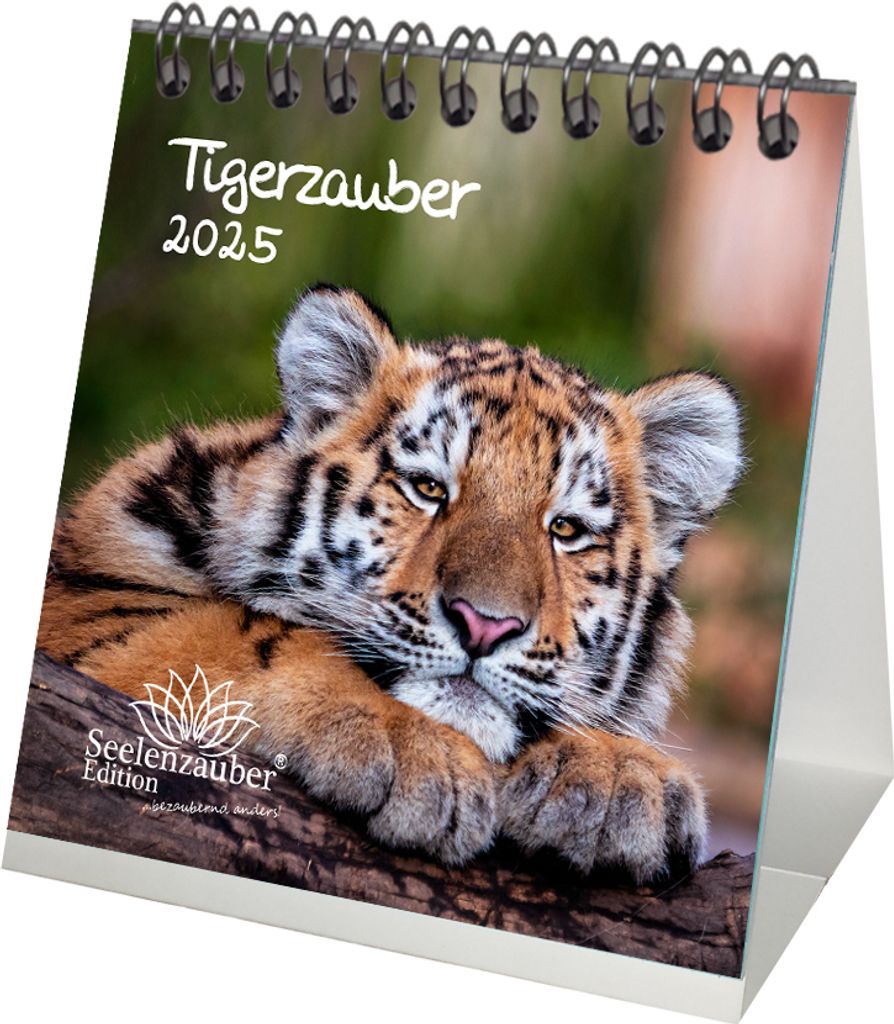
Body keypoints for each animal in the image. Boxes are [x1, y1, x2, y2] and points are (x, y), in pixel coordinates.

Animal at [37, 284, 743, 882]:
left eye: (565, 530)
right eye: (428, 488)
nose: (485, 625)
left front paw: (623, 774)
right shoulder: (89, 597)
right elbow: (242, 631)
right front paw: (413, 749)